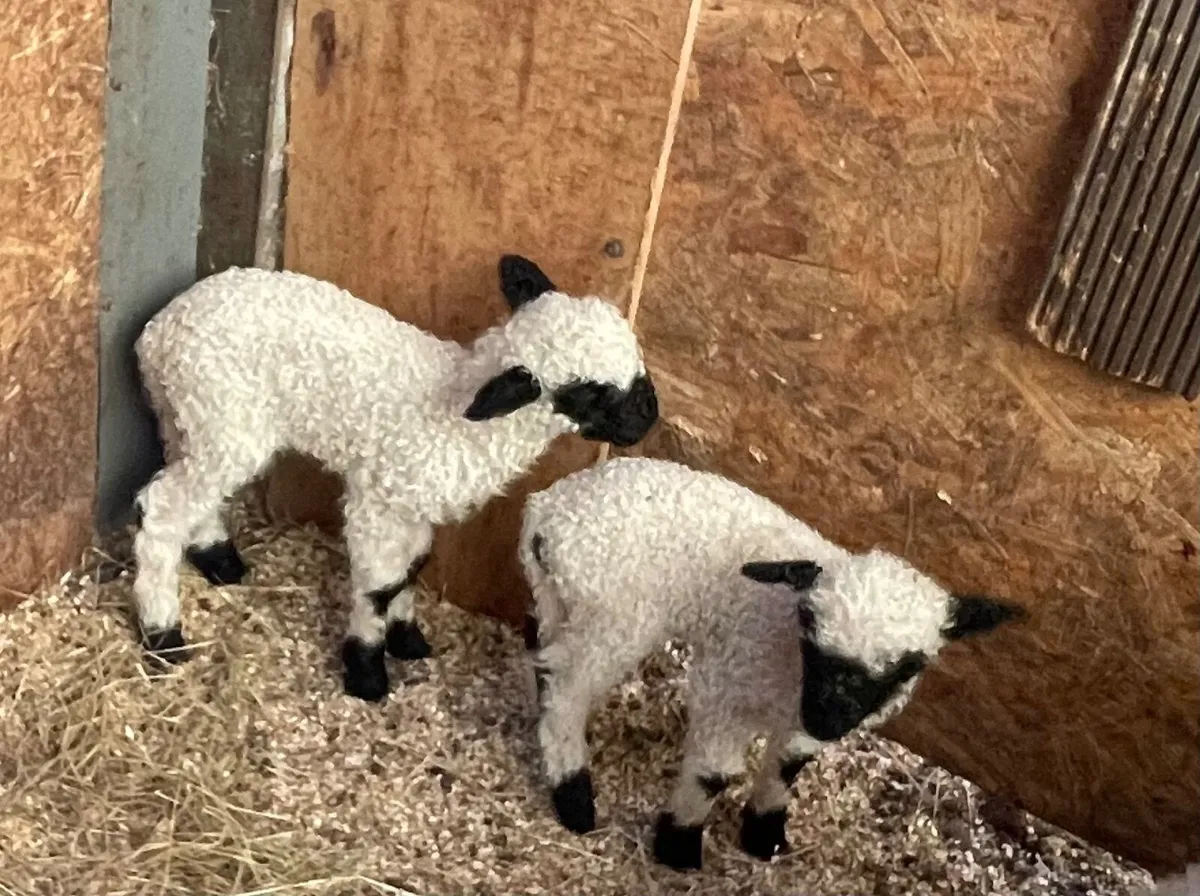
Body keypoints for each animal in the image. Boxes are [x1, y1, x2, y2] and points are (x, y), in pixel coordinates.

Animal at [131, 256, 658, 702]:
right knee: (161, 509)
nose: (648, 418)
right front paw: (367, 671)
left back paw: (219, 560)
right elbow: (379, 585)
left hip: (189, 418)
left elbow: (413, 566)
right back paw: (164, 634)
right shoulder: (377, 500)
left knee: (189, 492)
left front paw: (407, 640)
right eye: (587, 393)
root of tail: (157, 334)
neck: (459, 415)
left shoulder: (411, 500)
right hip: (226, 419)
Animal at [518, 456, 1027, 871]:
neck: (792, 676)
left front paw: (765, 836)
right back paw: (574, 797)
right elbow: (712, 775)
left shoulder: (798, 719)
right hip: (618, 617)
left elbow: (786, 768)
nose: (826, 718)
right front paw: (678, 846)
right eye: (808, 627)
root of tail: (548, 509)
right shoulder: (729, 685)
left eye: (907, 666)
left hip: (560, 601)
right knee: (567, 694)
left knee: (547, 662)